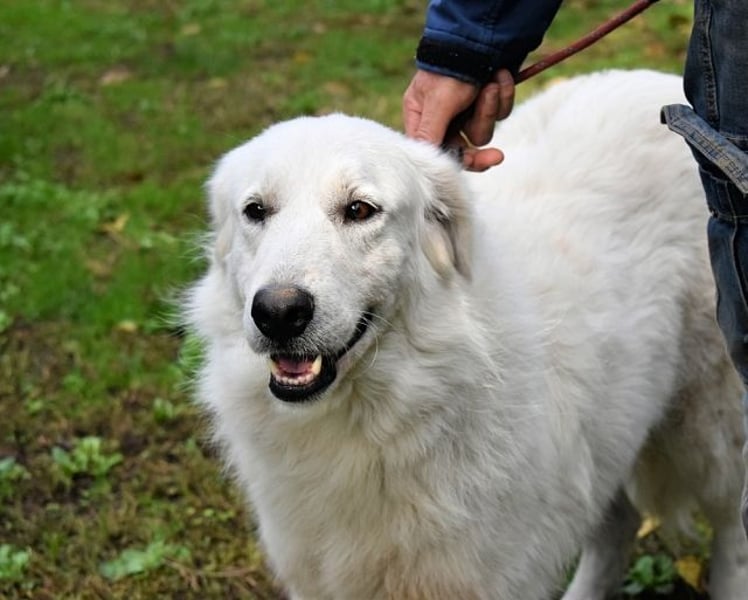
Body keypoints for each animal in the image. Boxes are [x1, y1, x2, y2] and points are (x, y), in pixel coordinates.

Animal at [185, 70, 748, 599]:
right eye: (256, 211)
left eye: (360, 210)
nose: (278, 313)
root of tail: (664, 86)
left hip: (715, 429)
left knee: (733, 532)